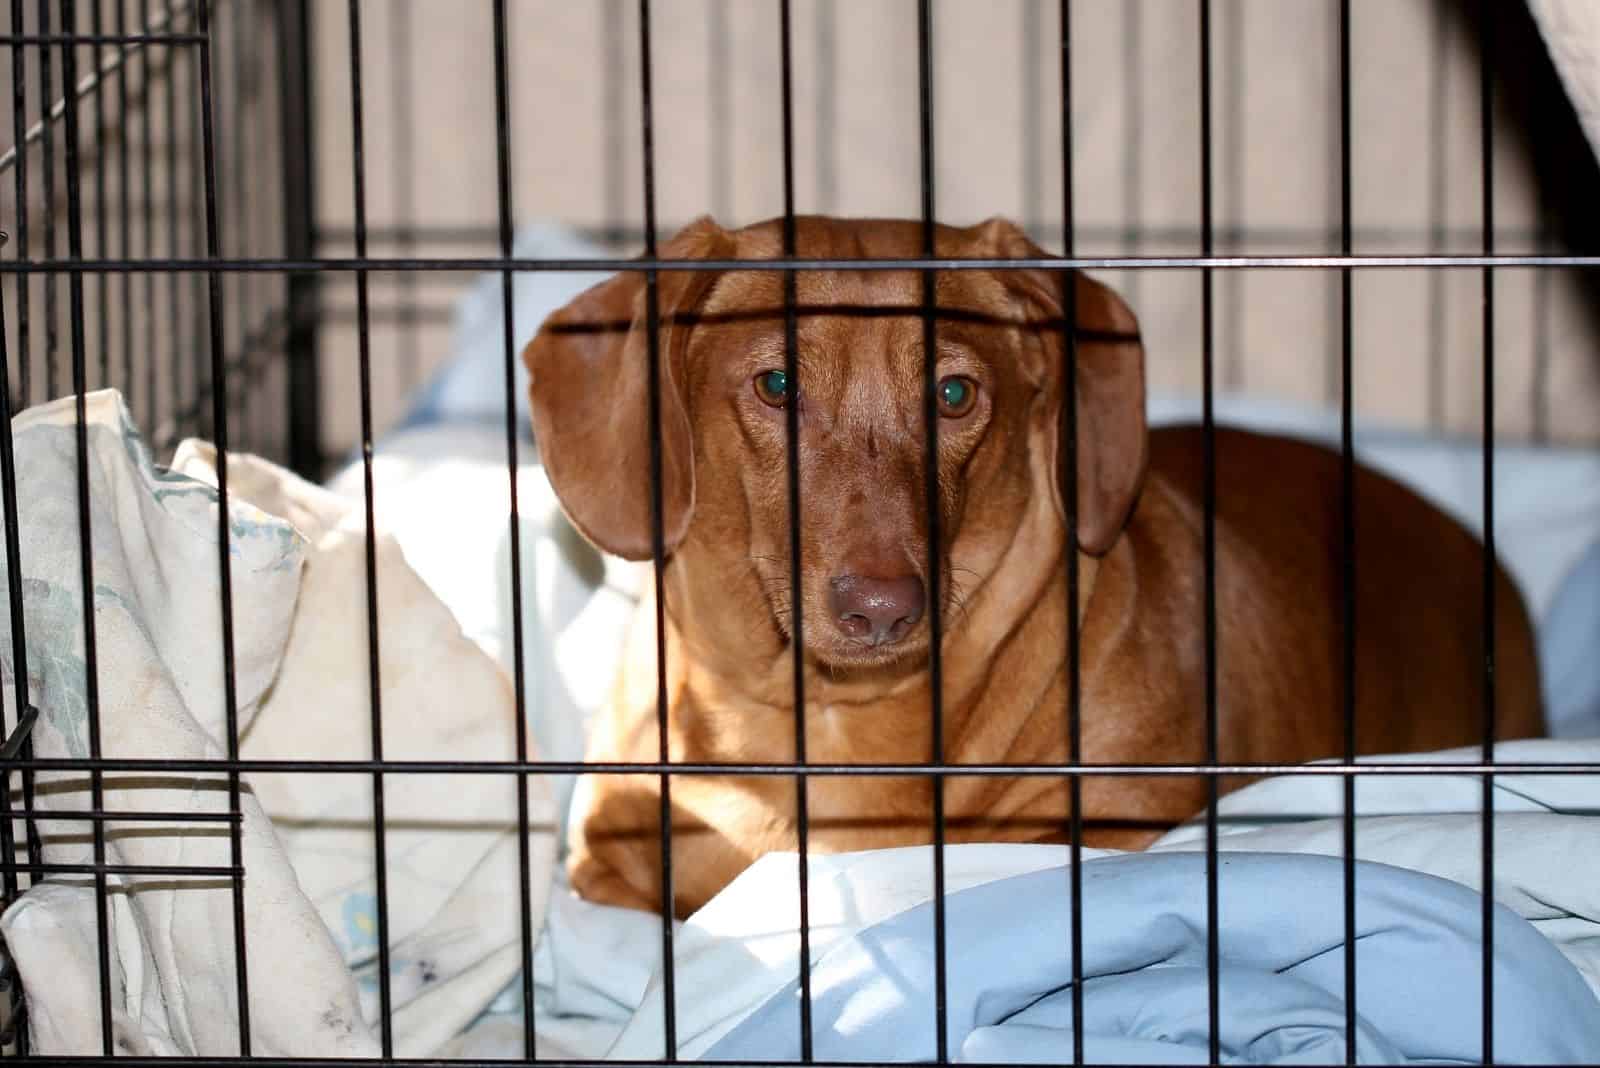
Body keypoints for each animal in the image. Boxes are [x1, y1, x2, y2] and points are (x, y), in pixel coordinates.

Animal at [521, 214, 1536, 920]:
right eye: (777, 385)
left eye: (953, 392)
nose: (882, 608)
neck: (830, 729)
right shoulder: (600, 869)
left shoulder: (1112, 819)